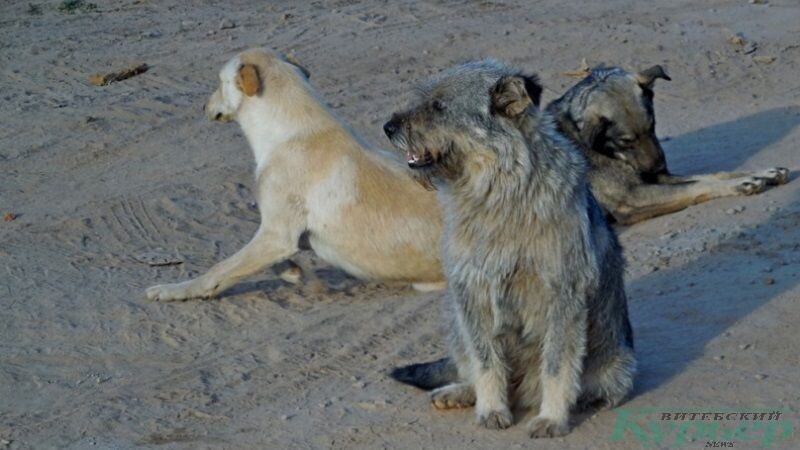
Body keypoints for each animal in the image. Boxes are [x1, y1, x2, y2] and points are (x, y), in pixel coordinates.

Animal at [146, 48, 446, 302]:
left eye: (219, 82)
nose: (203, 107)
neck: (292, 131)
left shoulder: (277, 233)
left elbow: (219, 269)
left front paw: (172, 290)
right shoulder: (281, 236)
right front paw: (292, 271)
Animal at [384, 61, 636, 438]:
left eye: (439, 107)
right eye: (423, 99)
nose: (387, 127)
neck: (499, 193)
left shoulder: (562, 294)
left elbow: (557, 367)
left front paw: (552, 418)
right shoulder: (471, 291)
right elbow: (486, 362)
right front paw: (491, 408)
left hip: (618, 367)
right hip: (455, 319)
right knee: (470, 366)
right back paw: (459, 391)